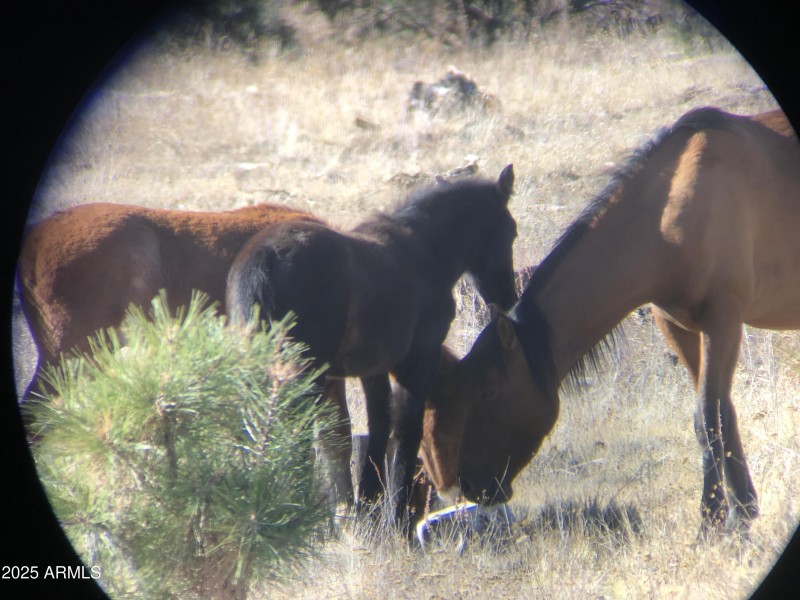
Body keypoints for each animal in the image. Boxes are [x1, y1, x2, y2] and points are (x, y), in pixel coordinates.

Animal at [226, 165, 518, 524]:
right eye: (511, 231)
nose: (508, 297)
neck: (424, 249)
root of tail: (264, 261)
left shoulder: (373, 370)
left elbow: (379, 428)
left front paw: (369, 503)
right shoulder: (418, 362)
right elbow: (406, 432)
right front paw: (399, 515)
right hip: (304, 375)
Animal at [451, 107, 800, 535]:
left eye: (488, 393)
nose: (469, 484)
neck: (670, 218)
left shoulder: (723, 323)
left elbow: (708, 416)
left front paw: (715, 520)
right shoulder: (679, 327)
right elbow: (722, 414)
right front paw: (738, 511)